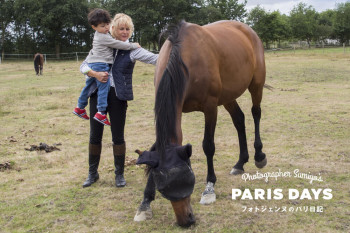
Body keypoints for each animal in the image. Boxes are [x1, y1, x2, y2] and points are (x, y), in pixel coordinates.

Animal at [135, 20, 268, 228]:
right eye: (163, 188)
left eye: (189, 181)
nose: (186, 220)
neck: (185, 55)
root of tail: (249, 30)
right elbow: (156, 148)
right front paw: (145, 203)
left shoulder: (210, 107)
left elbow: (208, 146)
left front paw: (209, 187)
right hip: (228, 96)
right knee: (239, 120)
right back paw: (240, 163)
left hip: (256, 84)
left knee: (256, 113)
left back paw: (259, 155)